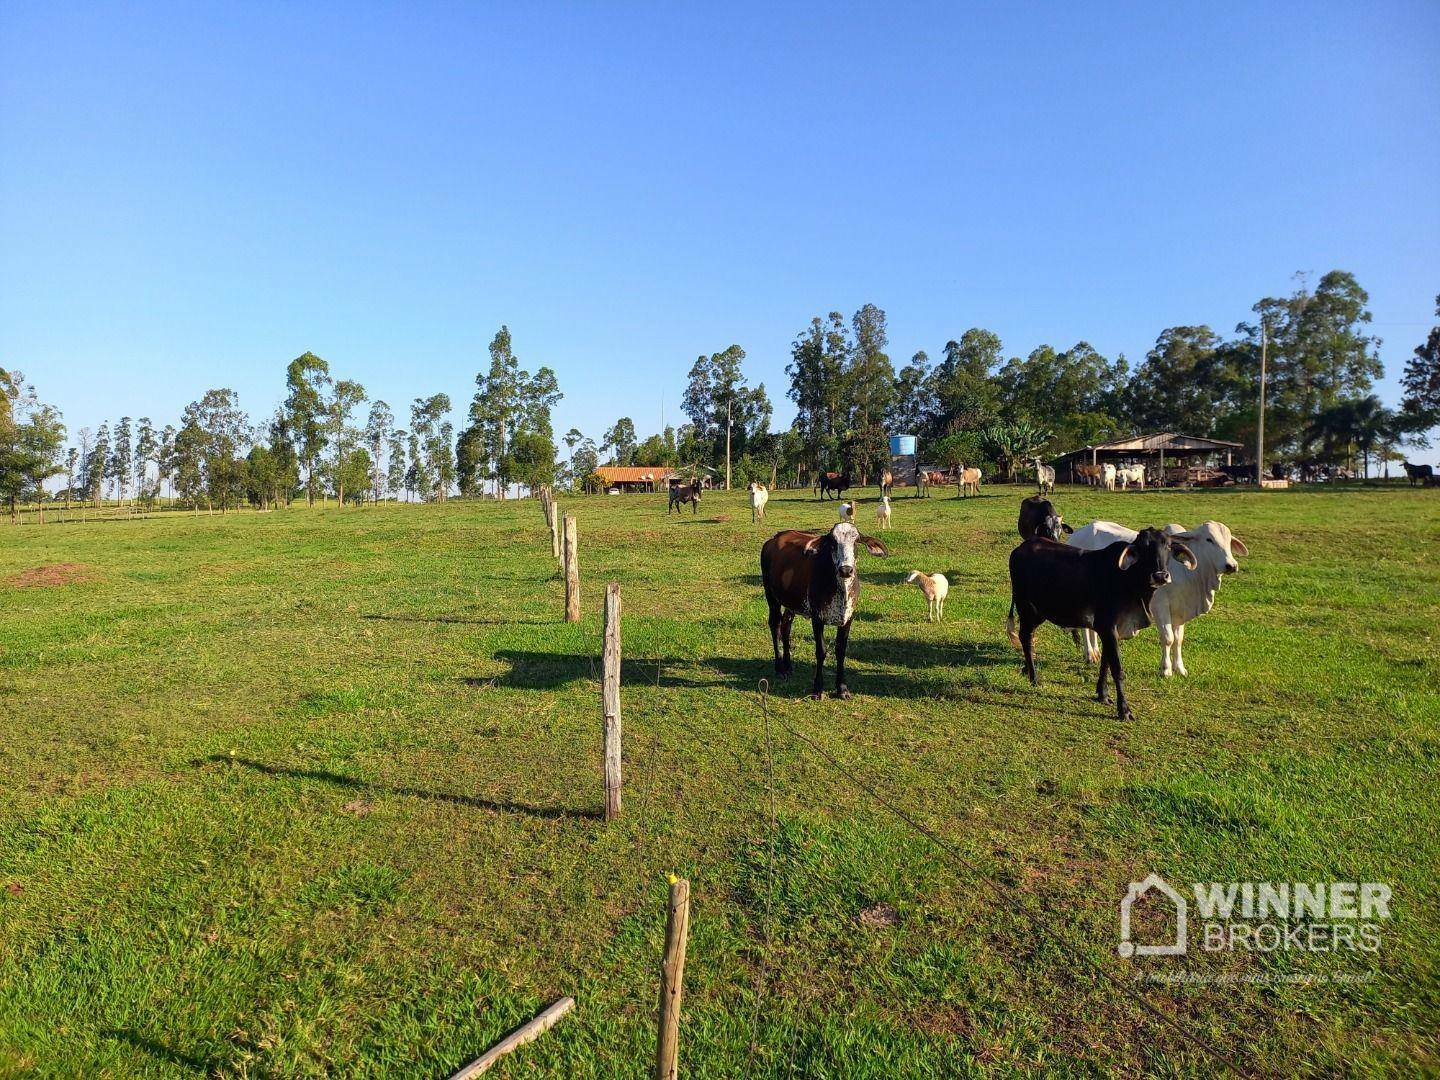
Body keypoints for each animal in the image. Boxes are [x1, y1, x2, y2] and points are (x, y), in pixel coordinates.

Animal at [766, 521, 887, 702]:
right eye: (832, 542)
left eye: (856, 541)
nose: (846, 570)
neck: (841, 589)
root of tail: (774, 538)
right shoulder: (817, 618)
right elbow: (821, 651)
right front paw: (818, 689)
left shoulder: (848, 618)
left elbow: (841, 650)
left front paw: (842, 688)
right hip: (771, 598)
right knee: (776, 626)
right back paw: (779, 668)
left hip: (791, 603)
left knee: (786, 626)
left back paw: (788, 666)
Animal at [1002, 529, 1192, 722]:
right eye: (1144, 547)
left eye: (1168, 546)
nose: (1160, 576)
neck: (1128, 580)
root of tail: (1021, 548)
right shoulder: (1107, 627)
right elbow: (1117, 669)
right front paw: (1124, 710)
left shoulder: (1112, 631)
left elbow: (1105, 663)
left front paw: (1103, 694)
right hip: (1028, 609)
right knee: (1026, 638)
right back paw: (1034, 678)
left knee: (1027, 638)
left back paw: (1027, 670)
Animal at [1065, 521, 1255, 676]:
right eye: (1209, 540)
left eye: (1228, 541)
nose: (1231, 565)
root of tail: (1076, 534)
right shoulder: (1160, 607)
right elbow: (1168, 638)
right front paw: (1166, 669)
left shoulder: (1179, 611)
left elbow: (1178, 640)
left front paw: (1180, 668)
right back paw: (1089, 654)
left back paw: (1095, 652)